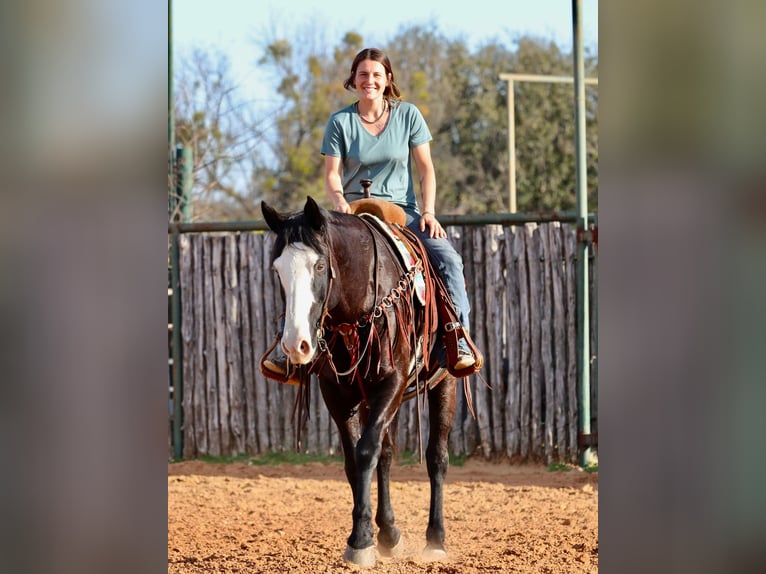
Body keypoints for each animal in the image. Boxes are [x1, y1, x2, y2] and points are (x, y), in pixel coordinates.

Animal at [260, 197, 472, 568]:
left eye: (319, 265)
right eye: (277, 270)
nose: (296, 345)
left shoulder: (393, 381)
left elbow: (366, 451)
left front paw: (361, 540)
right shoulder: (337, 393)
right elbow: (355, 459)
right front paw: (366, 536)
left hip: (443, 382)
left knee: (437, 457)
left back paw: (435, 539)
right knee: (386, 457)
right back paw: (389, 533)